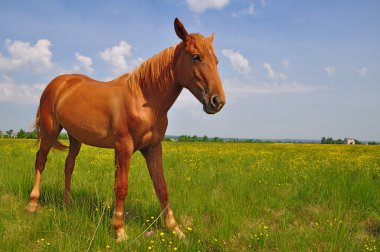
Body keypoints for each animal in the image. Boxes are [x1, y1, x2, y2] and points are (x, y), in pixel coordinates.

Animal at [26, 17, 226, 242]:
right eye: (196, 57)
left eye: (216, 61)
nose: (217, 101)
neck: (143, 98)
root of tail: (57, 83)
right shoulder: (124, 147)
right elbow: (121, 187)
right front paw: (120, 231)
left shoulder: (153, 148)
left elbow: (162, 187)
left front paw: (176, 229)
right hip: (50, 131)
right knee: (40, 160)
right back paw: (32, 204)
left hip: (75, 137)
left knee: (69, 166)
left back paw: (67, 205)